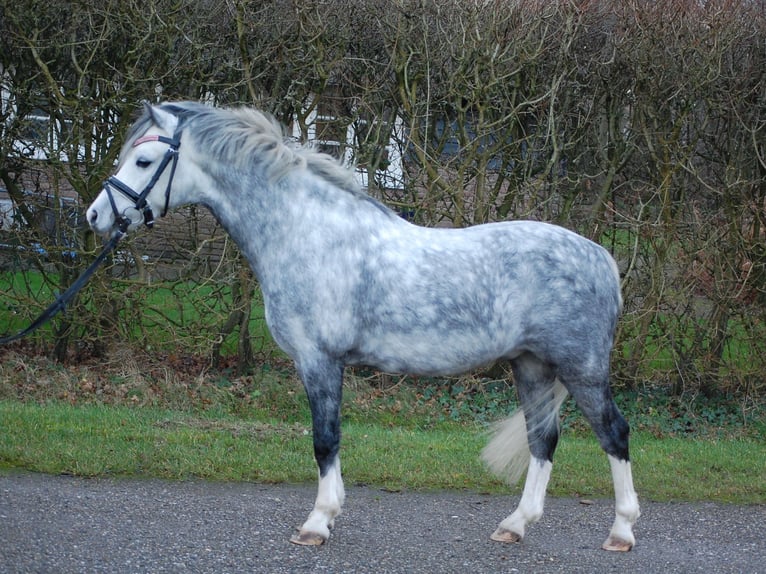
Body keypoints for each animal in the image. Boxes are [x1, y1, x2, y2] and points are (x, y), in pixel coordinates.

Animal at [87, 102, 640, 552]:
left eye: (142, 161)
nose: (96, 216)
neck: (305, 232)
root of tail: (601, 257)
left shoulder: (318, 360)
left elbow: (324, 440)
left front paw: (317, 523)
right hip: (532, 366)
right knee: (542, 440)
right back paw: (515, 525)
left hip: (582, 369)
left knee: (614, 434)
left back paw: (621, 532)